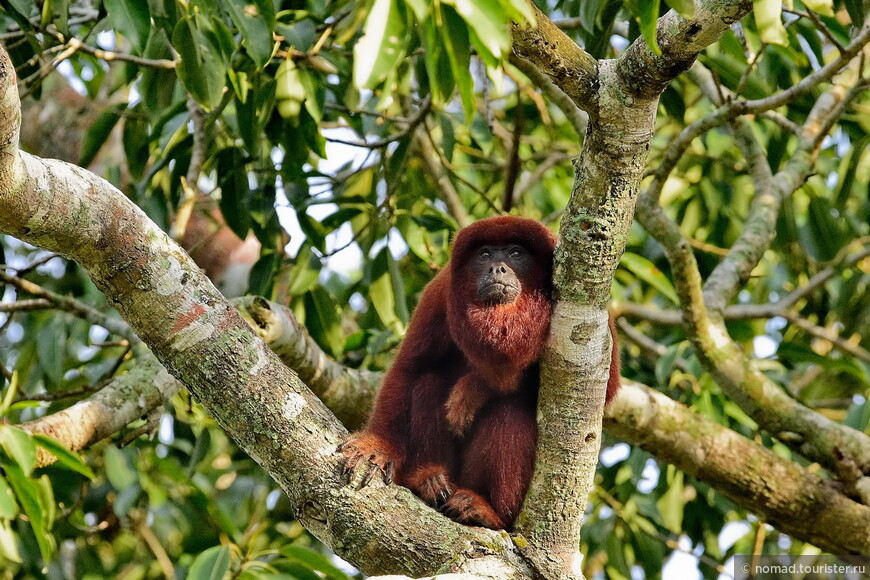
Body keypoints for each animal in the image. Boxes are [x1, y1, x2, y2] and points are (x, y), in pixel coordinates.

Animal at [340, 215, 620, 528]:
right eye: (484, 254)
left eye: (515, 253)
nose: (497, 267)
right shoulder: (439, 292)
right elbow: (409, 369)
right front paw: (379, 446)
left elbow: (605, 388)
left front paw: (475, 388)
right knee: (429, 382)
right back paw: (428, 480)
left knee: (509, 409)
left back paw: (487, 511)